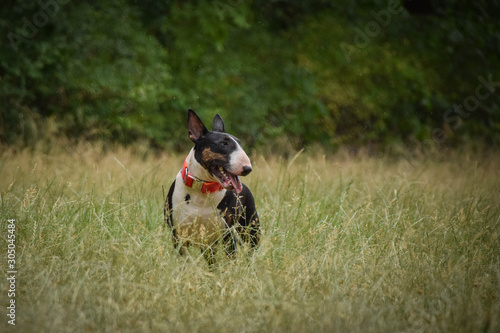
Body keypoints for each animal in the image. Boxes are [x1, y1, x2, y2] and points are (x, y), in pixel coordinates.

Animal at [165, 109, 262, 264]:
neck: (202, 190)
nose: (247, 168)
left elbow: (230, 258)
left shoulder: (228, 233)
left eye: (239, 143)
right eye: (224, 143)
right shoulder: (178, 235)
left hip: (250, 228)